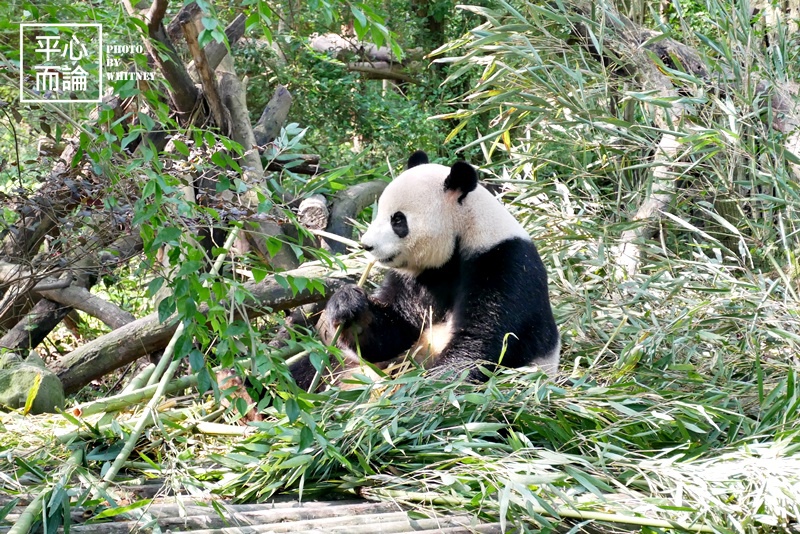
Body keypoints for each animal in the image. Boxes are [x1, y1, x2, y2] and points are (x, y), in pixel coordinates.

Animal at [290, 151, 560, 390]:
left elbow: (486, 342)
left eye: (397, 220)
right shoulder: (419, 278)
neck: (464, 236)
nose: (366, 245)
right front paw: (348, 304)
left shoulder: (503, 263)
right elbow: (394, 329)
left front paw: (428, 387)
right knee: (310, 366)